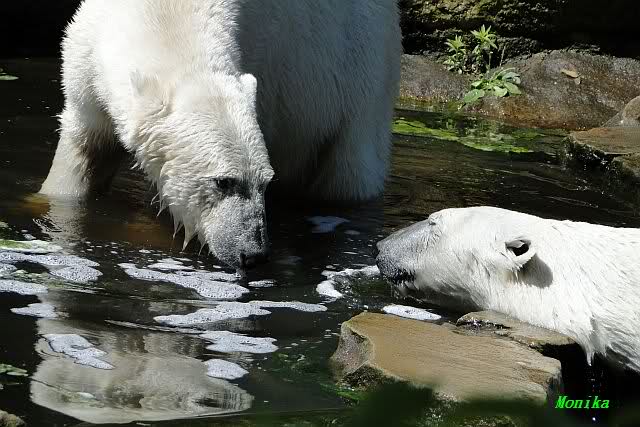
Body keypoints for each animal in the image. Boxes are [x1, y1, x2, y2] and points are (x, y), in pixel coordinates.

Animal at [39, 0, 402, 269]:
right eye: (223, 181)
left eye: (264, 182)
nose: (252, 254)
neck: (165, 15)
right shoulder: (85, 62)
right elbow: (84, 152)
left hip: (362, 71)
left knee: (348, 173)